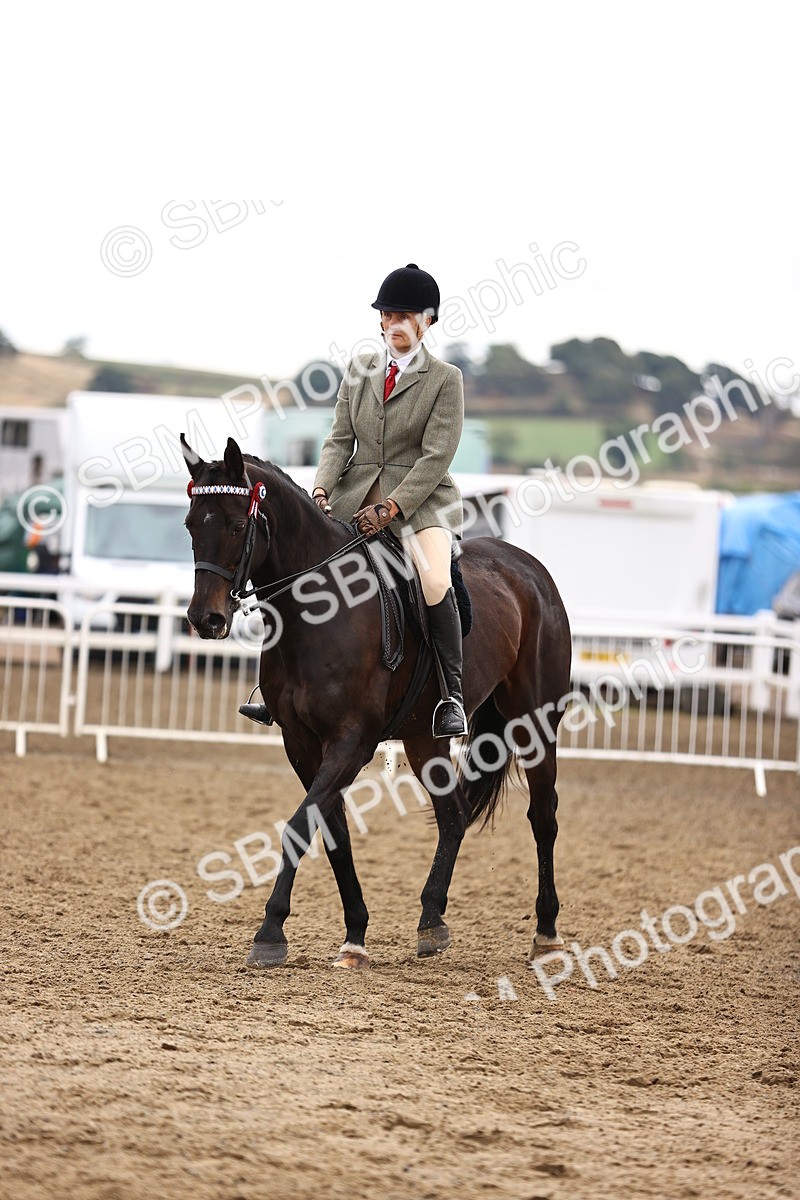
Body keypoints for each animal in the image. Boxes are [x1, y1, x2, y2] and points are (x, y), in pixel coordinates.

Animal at [181, 435, 572, 970]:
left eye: (239, 526)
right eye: (190, 526)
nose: (207, 619)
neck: (318, 612)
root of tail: (530, 568)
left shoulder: (351, 742)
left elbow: (299, 827)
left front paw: (270, 932)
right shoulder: (301, 744)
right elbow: (331, 832)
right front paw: (354, 936)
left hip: (535, 723)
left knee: (543, 816)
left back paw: (547, 932)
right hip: (425, 737)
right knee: (453, 816)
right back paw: (431, 922)